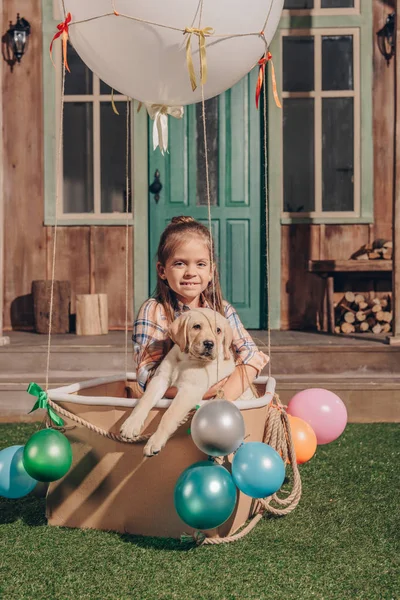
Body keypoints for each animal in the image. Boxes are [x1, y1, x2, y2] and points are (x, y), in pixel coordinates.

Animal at [120, 308, 255, 458]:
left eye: (218, 330)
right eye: (197, 326)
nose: (209, 344)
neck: (186, 359)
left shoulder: (190, 390)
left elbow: (169, 415)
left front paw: (154, 441)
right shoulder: (160, 378)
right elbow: (145, 400)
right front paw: (131, 424)